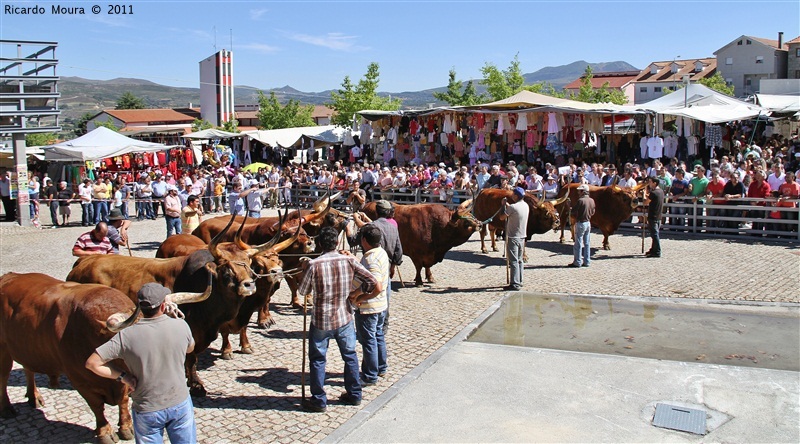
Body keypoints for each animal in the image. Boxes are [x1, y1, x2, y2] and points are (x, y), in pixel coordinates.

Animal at [68, 214, 260, 396]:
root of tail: (83, 263)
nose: (249, 285)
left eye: (248, 265)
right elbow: (191, 359)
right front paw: (196, 385)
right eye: (227, 270)